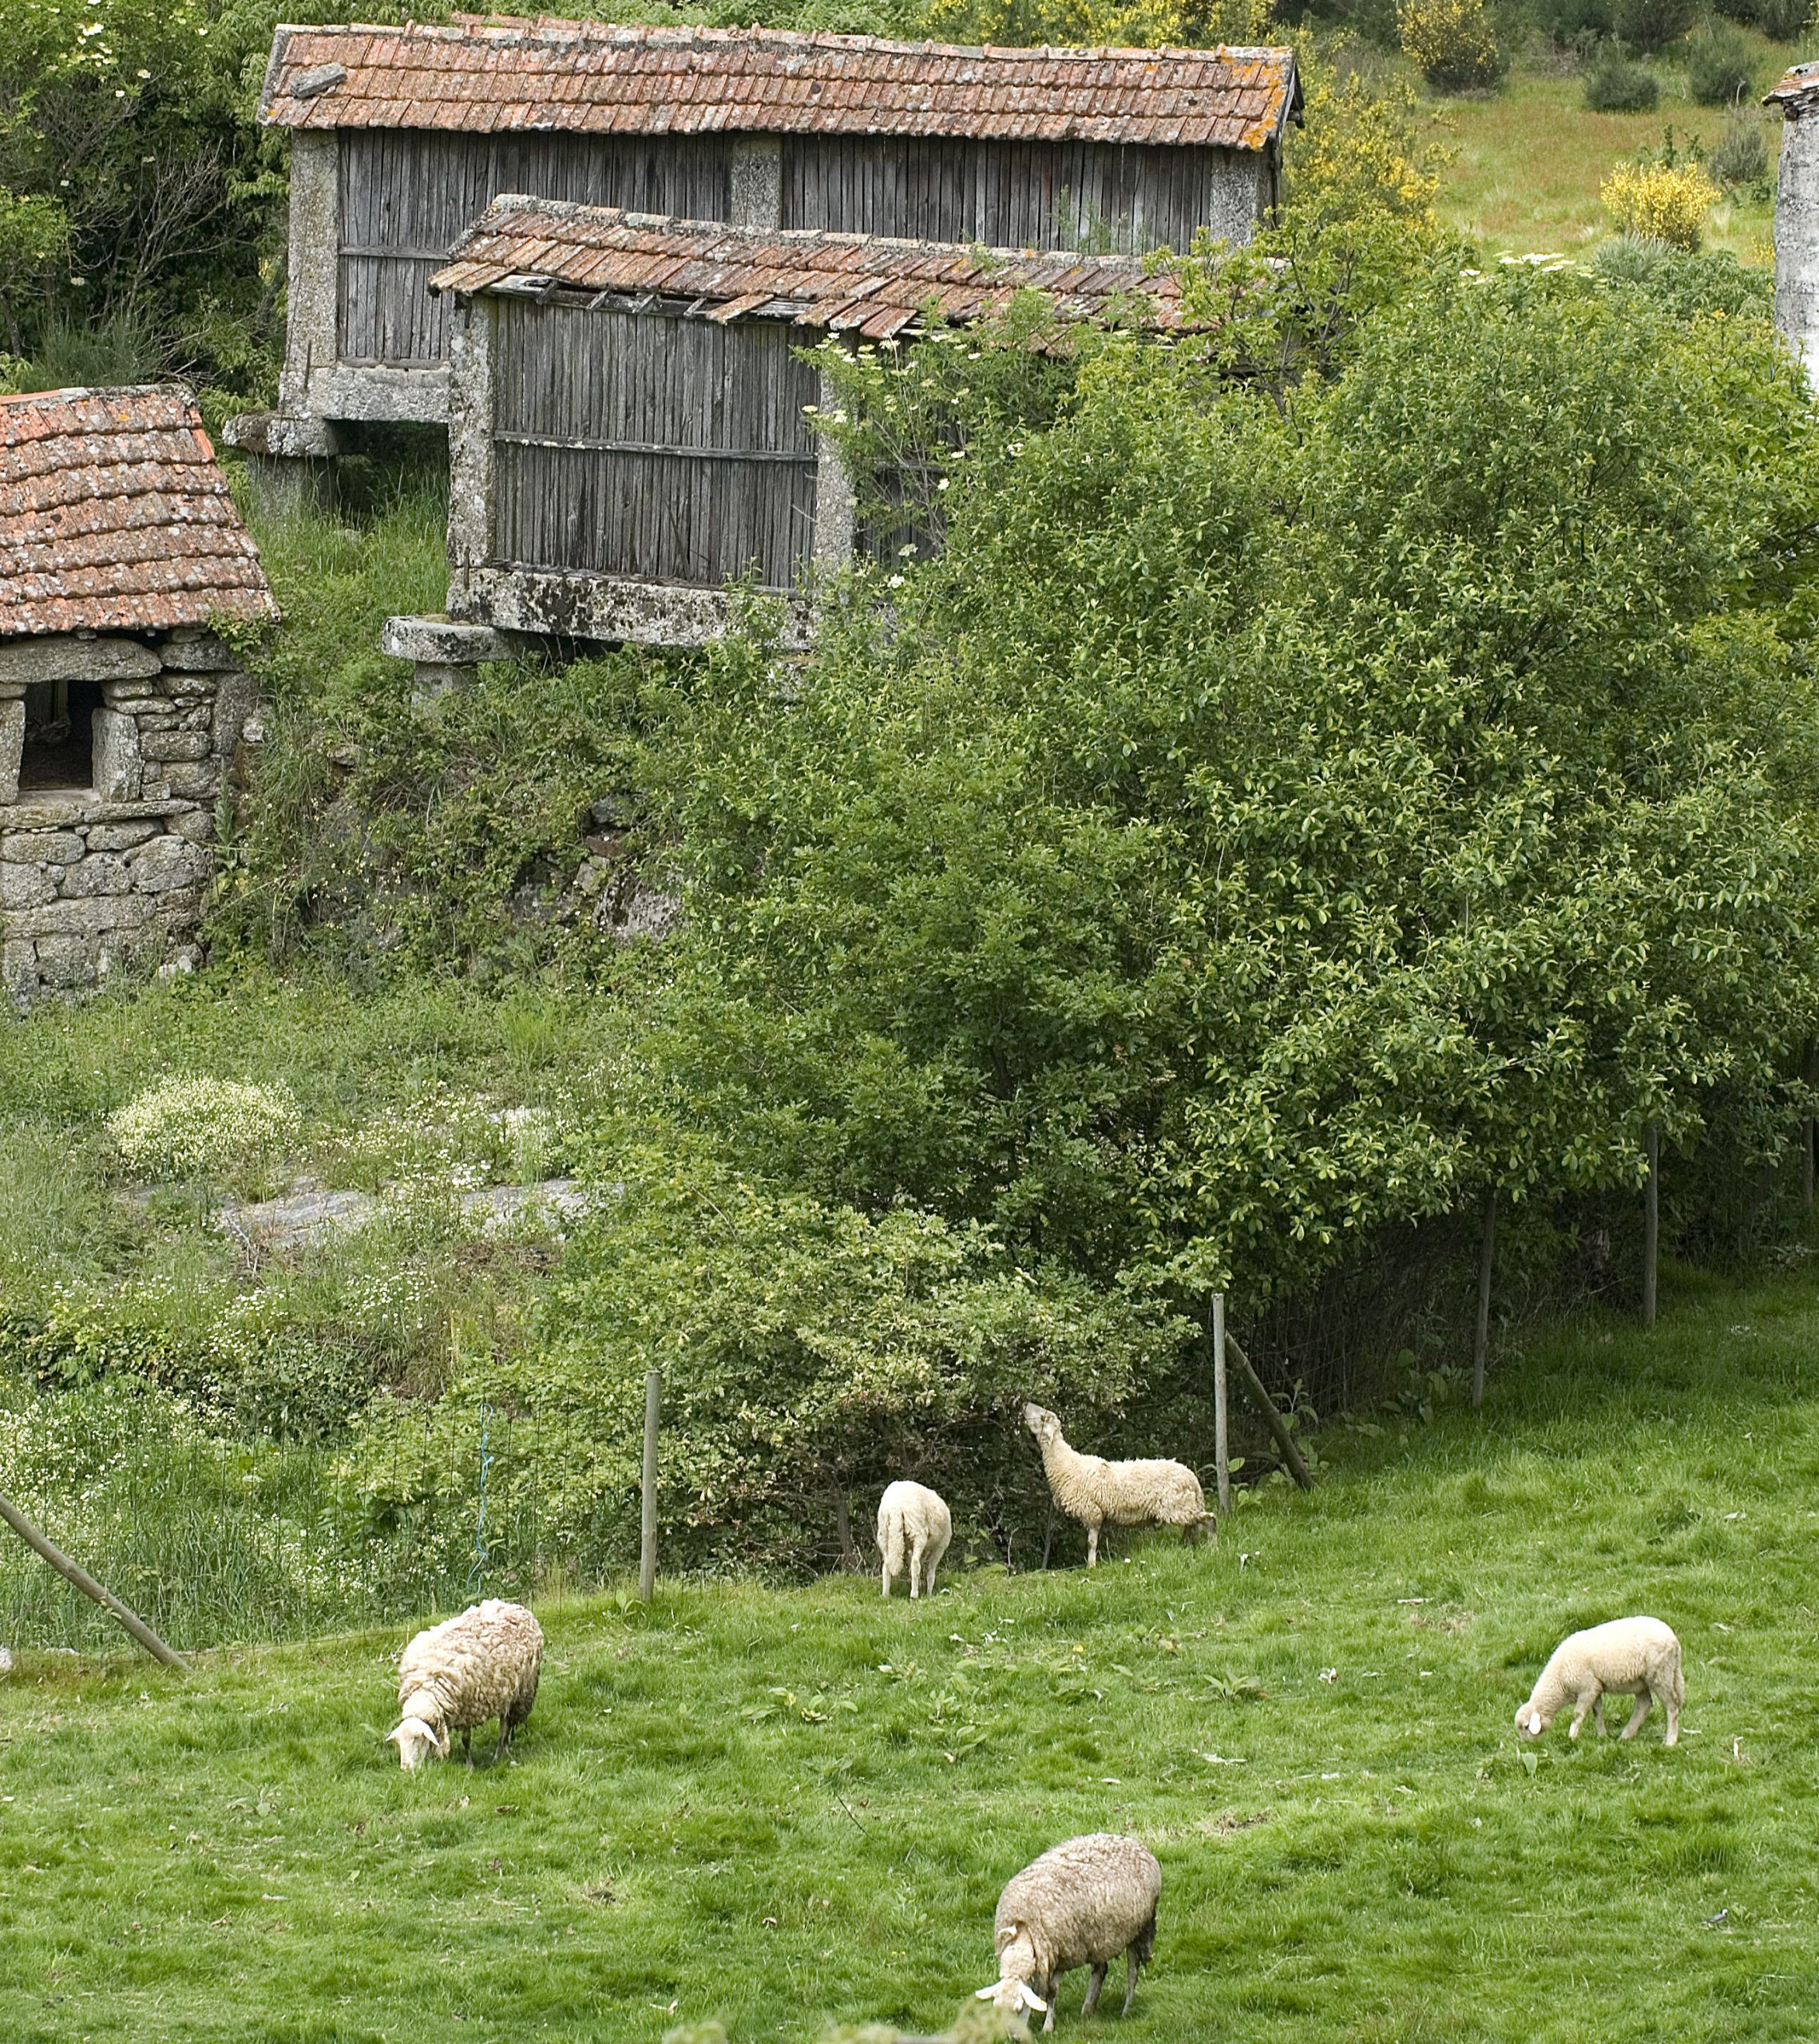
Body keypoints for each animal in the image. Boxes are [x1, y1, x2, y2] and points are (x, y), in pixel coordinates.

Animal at [386, 1586, 543, 1765]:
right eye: (399, 1742)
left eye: (417, 1737)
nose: (406, 1768)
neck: (427, 1686)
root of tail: (518, 1607)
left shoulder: (468, 1709)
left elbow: (466, 1740)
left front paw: (469, 1764)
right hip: (507, 1690)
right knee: (506, 1723)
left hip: (522, 1692)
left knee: (505, 1726)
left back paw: (499, 1753)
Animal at [874, 1480, 956, 1602]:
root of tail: (895, 1507)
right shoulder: (940, 1546)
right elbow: (931, 1570)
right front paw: (929, 1593)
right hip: (917, 1532)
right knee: (915, 1564)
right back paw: (914, 1595)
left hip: (884, 1534)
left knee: (886, 1565)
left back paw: (886, 1595)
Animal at [977, 1831, 1160, 2035]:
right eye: (997, 2010)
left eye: (1018, 2008)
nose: (1013, 2036)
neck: (1026, 1928)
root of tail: (1132, 1842)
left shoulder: (1062, 1954)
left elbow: (1051, 1991)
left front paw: (1047, 2027)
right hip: (1097, 1937)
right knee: (1100, 1969)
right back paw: (1088, 2009)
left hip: (1139, 1929)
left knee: (1132, 1971)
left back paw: (1126, 2009)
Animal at [1013, 1398, 1210, 1570]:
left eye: (1042, 1417)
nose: (1024, 1403)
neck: (1066, 1463)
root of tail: (1192, 1478)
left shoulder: (1092, 1512)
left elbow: (1091, 1542)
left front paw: (1091, 1567)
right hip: (1181, 1506)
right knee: (1193, 1524)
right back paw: (1185, 1545)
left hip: (1176, 1506)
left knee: (1208, 1518)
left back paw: (1211, 1542)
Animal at [1512, 1610, 1684, 1741]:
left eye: (1526, 1727)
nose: (1526, 1744)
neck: (1560, 1682)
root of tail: (1674, 1641)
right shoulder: (1595, 1688)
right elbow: (1597, 1713)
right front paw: (1602, 1735)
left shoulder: (1587, 1688)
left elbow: (1578, 1715)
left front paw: (1572, 1737)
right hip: (1642, 1681)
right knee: (1644, 1705)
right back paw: (1625, 1736)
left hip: (1661, 1674)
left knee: (1672, 1706)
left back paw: (1670, 1740)